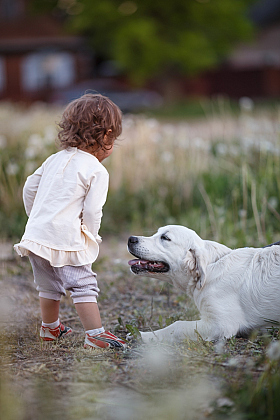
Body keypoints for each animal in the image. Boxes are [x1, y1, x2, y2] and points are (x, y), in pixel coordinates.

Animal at [128, 225, 280, 342]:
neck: (211, 267)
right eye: (157, 233)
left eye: (165, 238)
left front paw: (142, 335)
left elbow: (177, 325)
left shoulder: (221, 324)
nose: (131, 239)